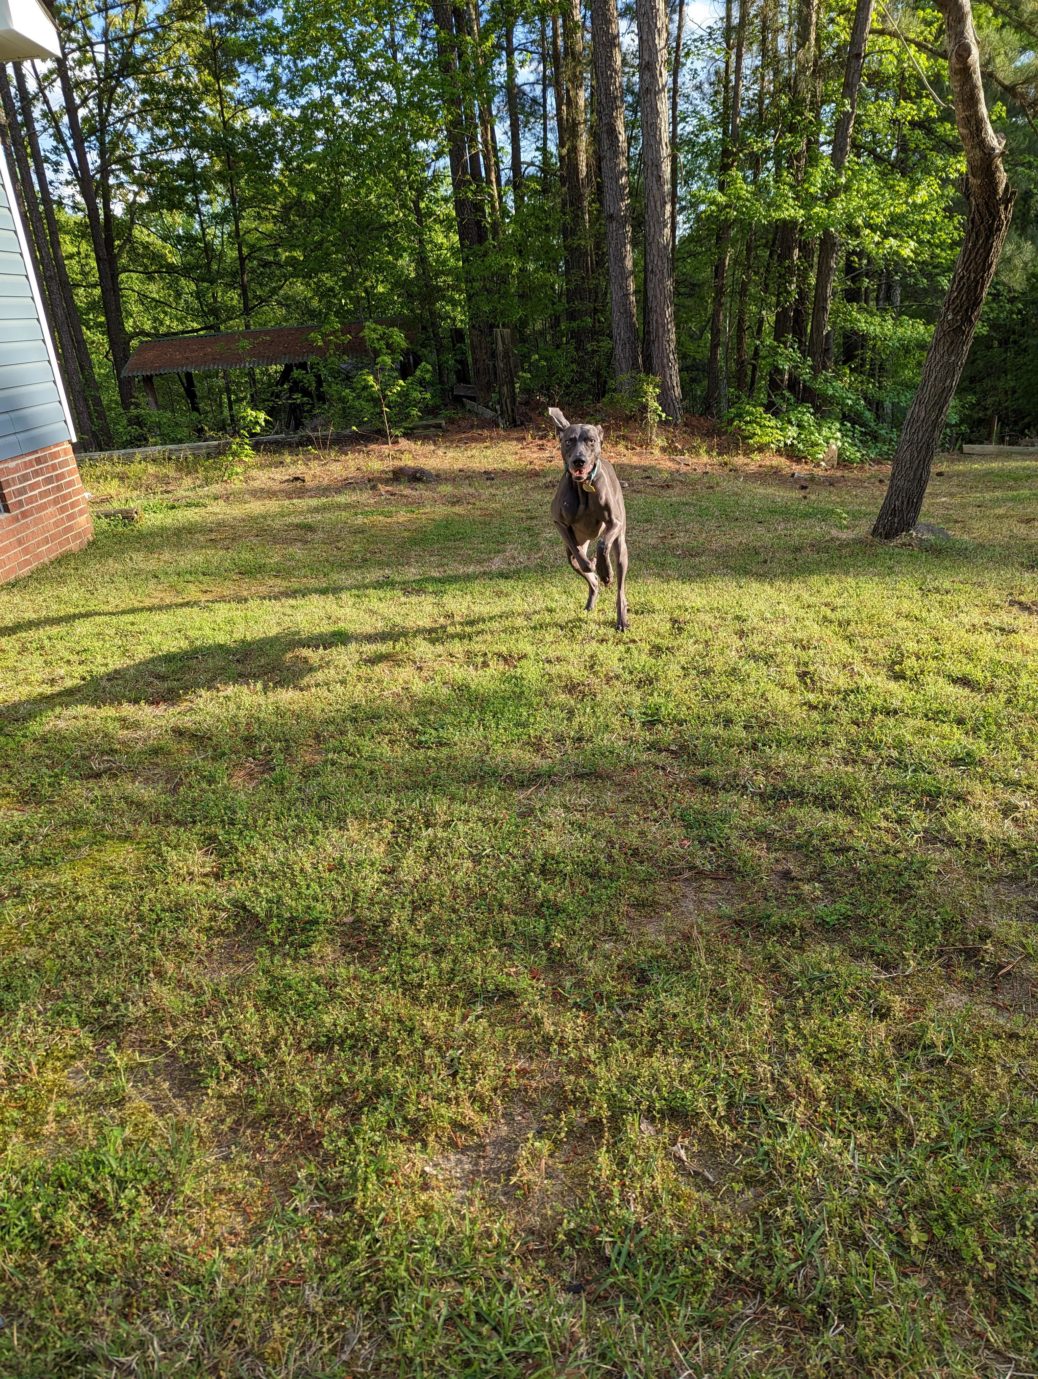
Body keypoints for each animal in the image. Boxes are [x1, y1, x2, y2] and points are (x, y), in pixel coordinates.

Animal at [545, 402, 628, 631]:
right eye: (569, 441)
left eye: (591, 440)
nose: (579, 461)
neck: (583, 487)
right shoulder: (559, 523)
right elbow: (581, 558)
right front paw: (592, 565)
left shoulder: (614, 523)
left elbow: (602, 543)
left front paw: (605, 571)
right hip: (571, 554)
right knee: (589, 576)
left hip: (622, 549)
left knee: (620, 588)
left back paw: (621, 617)